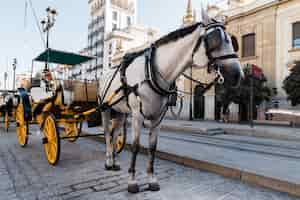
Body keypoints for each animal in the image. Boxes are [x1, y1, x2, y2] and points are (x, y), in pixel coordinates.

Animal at [99, 12, 243, 194]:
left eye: (231, 41)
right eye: (215, 40)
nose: (237, 75)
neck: (152, 70)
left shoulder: (158, 117)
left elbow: (153, 147)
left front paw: (152, 179)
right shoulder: (137, 116)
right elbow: (136, 146)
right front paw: (132, 181)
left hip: (121, 112)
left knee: (114, 134)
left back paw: (115, 162)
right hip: (105, 109)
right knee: (107, 135)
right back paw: (108, 161)